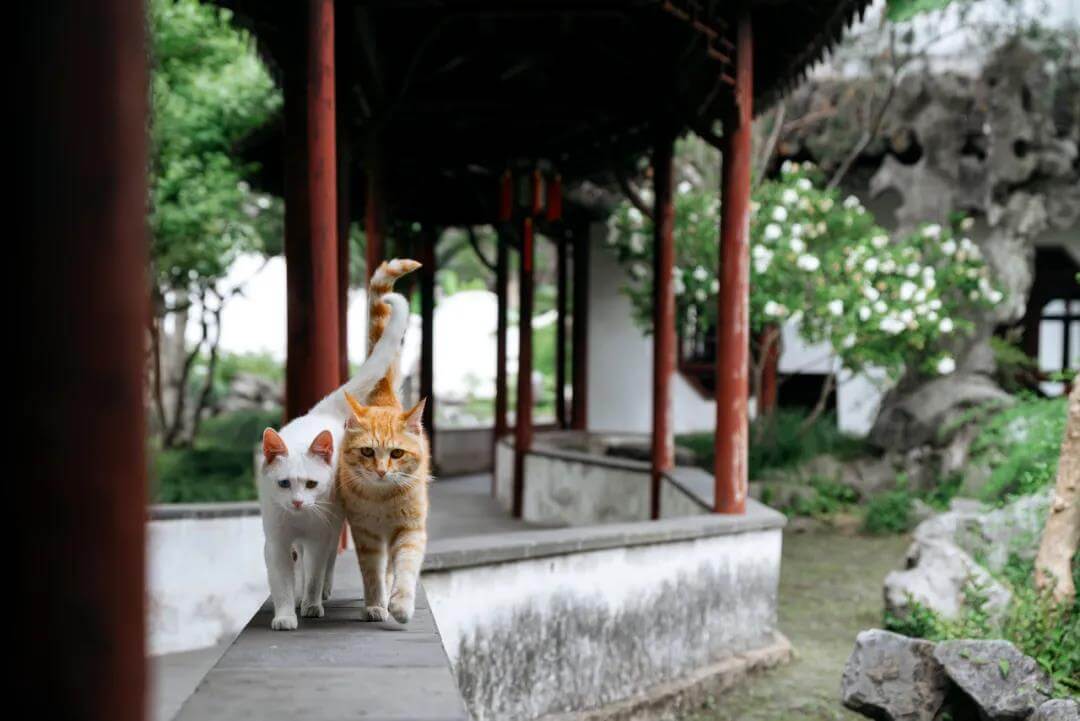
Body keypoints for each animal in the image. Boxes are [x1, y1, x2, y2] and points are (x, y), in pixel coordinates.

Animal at [257, 263, 416, 626]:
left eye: (311, 484)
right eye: (284, 484)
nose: (298, 502)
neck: (300, 520)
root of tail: (321, 411)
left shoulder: (320, 534)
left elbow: (315, 573)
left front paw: (311, 605)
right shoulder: (276, 542)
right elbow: (283, 582)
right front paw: (286, 614)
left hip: (334, 524)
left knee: (326, 562)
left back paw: (320, 595)